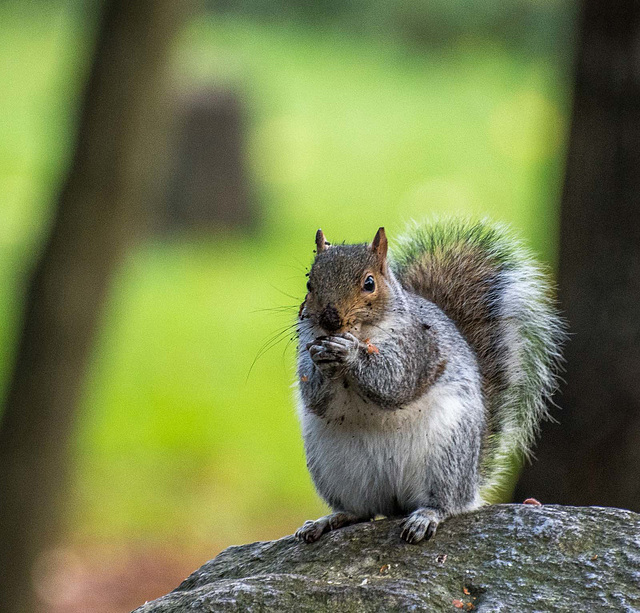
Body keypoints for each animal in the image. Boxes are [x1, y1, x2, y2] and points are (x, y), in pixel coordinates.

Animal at [296, 219, 564, 540]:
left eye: (369, 283)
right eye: (309, 284)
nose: (330, 320)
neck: (363, 332)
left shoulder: (418, 348)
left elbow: (394, 382)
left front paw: (349, 352)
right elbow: (315, 397)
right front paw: (322, 359)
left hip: (446, 457)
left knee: (446, 503)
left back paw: (426, 516)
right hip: (333, 468)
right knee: (362, 511)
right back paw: (330, 520)